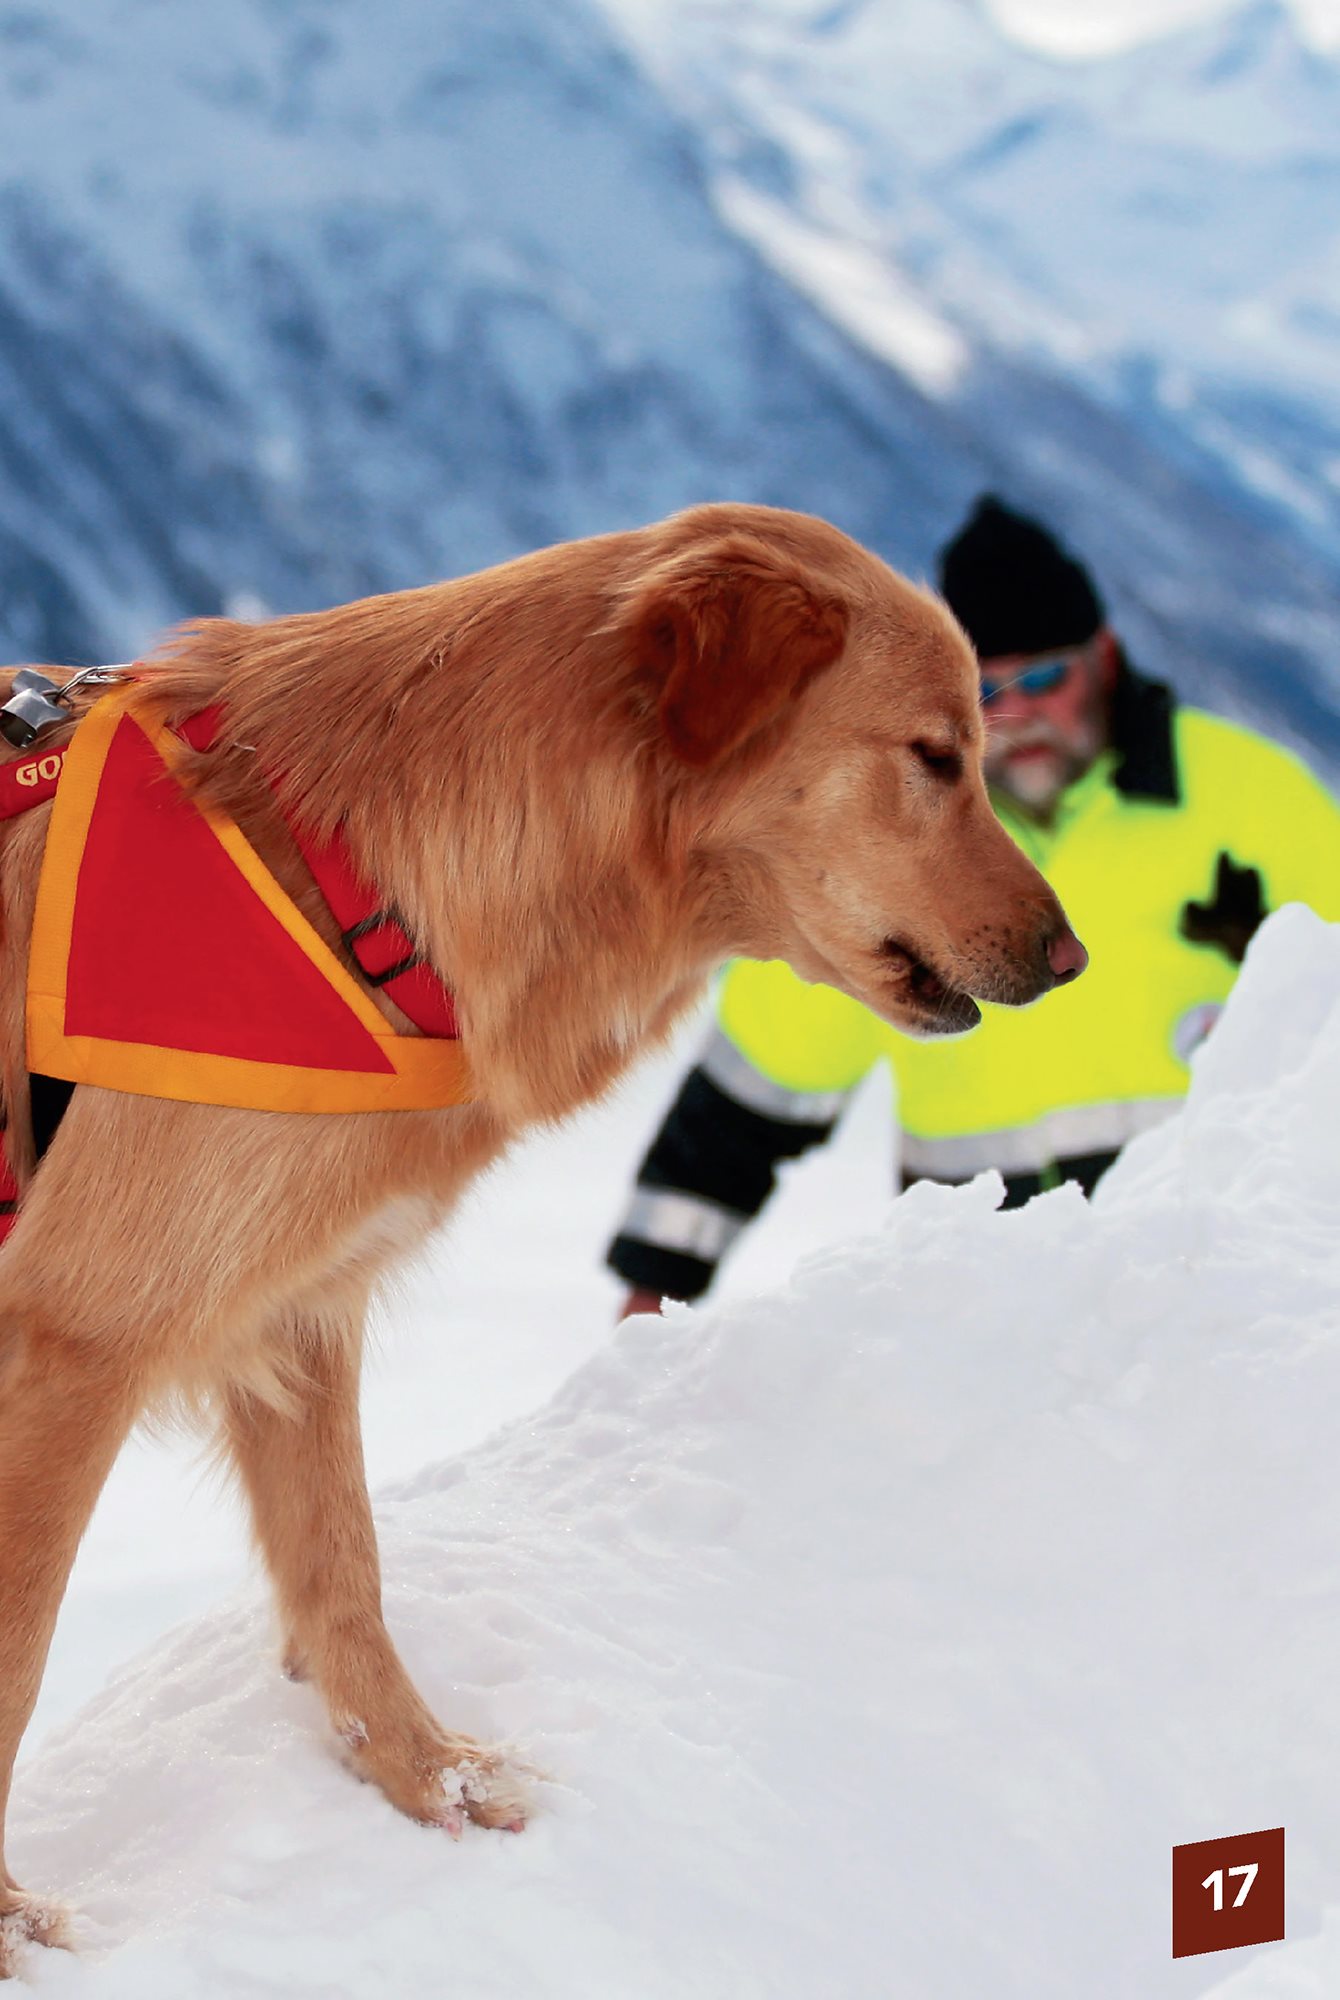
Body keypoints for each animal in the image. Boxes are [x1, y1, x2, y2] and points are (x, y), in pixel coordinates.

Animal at [0, 500, 1088, 1968]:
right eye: (933, 755)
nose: (1073, 958)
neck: (350, 877)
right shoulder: (73, 1342)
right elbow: (20, 1653)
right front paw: (9, 1920)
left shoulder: (294, 1318)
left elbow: (345, 1565)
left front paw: (426, 1781)